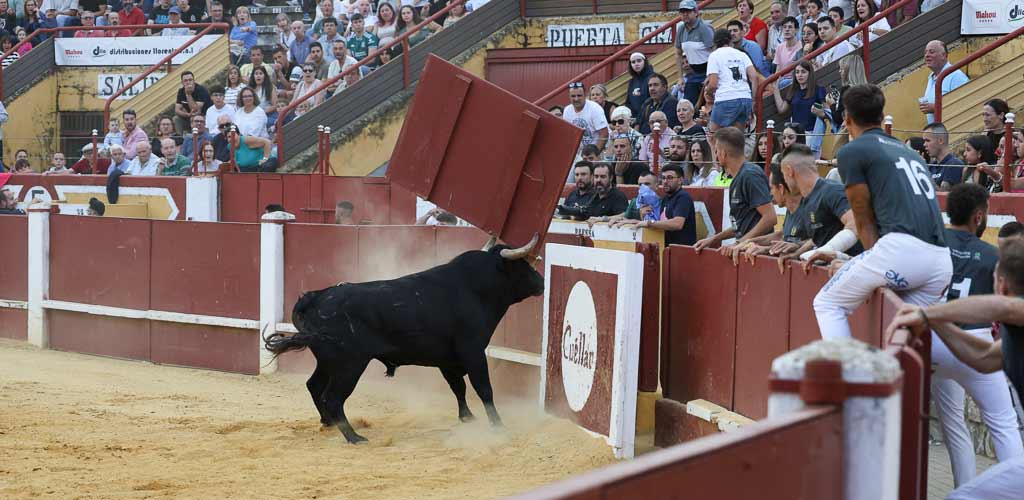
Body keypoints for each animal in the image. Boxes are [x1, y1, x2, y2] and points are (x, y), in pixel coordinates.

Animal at [263, 234, 544, 444]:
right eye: (523, 265)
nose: (541, 282)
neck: (475, 288)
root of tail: (317, 297)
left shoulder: (447, 359)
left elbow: (458, 387)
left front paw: (467, 418)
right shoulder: (472, 351)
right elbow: (483, 388)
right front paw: (497, 425)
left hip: (327, 361)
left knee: (314, 386)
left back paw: (329, 424)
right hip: (350, 364)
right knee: (332, 397)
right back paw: (354, 437)